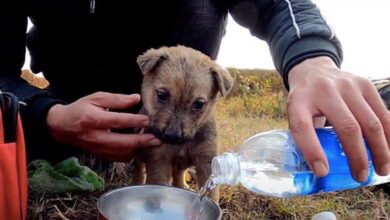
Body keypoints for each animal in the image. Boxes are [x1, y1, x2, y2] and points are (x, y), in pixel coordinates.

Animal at [133, 45, 233, 203]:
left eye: (199, 104)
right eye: (162, 95)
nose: (173, 137)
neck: (184, 143)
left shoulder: (207, 162)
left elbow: (211, 193)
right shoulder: (160, 160)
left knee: (179, 174)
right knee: (139, 169)